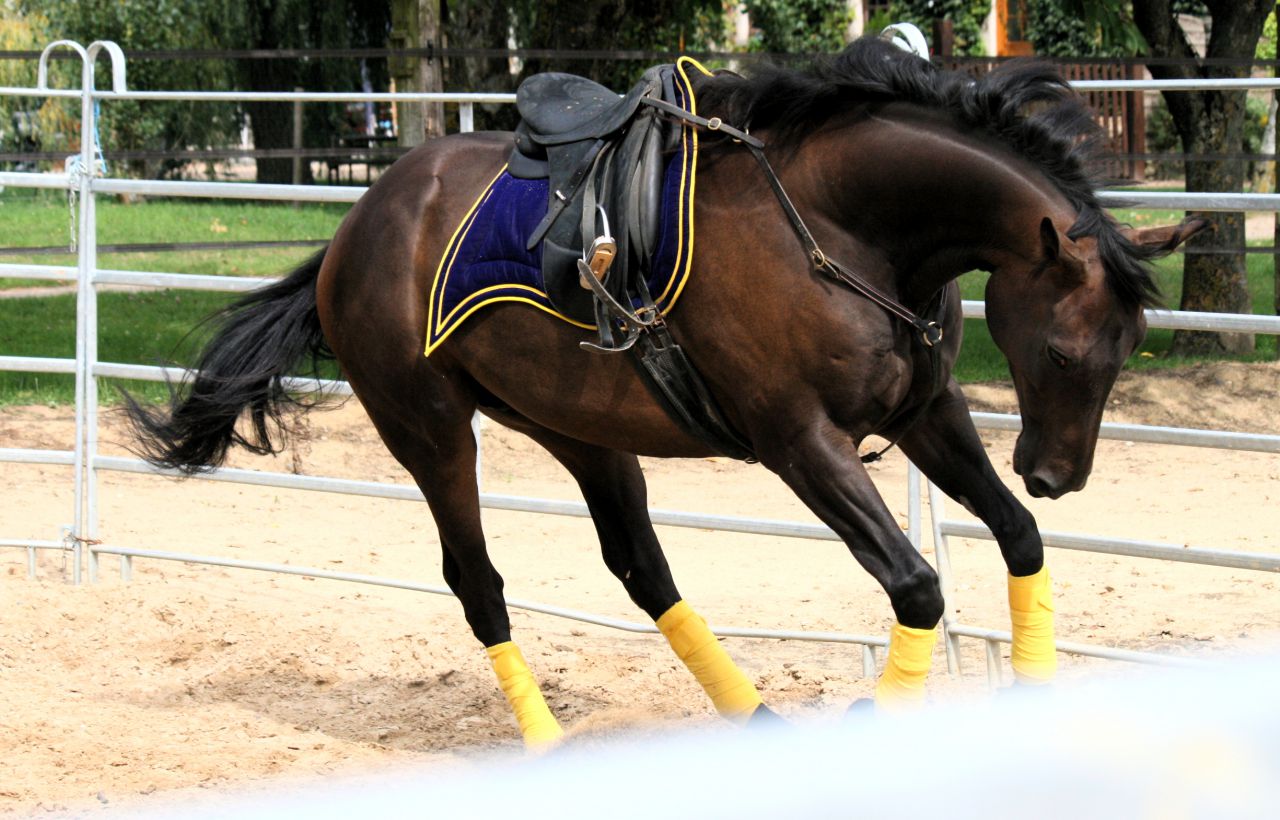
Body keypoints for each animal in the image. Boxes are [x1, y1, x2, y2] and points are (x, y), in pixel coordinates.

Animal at [125, 38, 1205, 746]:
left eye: (1129, 346)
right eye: (1062, 351)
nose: (1058, 470)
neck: (839, 225)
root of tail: (355, 228)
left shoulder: (921, 415)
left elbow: (1016, 538)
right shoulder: (798, 441)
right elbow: (917, 585)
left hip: (580, 430)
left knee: (641, 568)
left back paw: (752, 719)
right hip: (429, 430)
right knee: (479, 585)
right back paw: (550, 745)